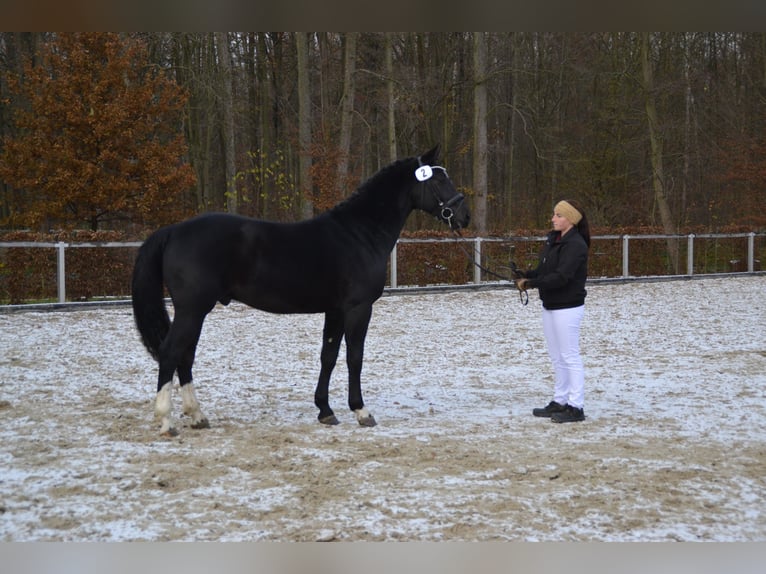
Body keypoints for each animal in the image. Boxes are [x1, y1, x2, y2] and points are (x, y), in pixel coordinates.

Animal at [130, 145, 468, 436]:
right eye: (439, 179)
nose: (463, 216)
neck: (359, 234)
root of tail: (173, 230)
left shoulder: (335, 310)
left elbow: (328, 356)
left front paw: (325, 411)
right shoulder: (358, 308)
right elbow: (354, 357)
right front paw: (361, 411)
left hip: (196, 311)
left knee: (185, 356)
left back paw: (197, 416)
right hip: (192, 309)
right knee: (171, 353)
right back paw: (167, 422)